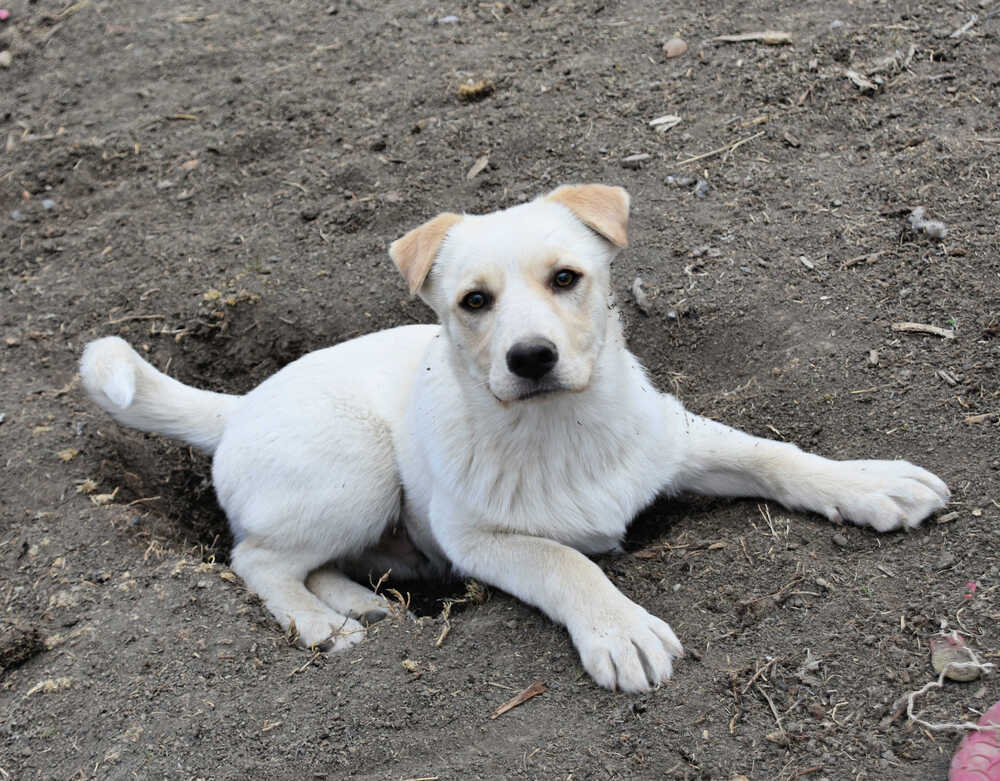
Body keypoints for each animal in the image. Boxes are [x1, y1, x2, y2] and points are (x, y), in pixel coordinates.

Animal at [82, 186, 948, 692]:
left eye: (566, 278)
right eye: (474, 301)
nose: (531, 357)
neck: (561, 431)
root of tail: (239, 404)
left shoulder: (677, 438)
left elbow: (776, 454)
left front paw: (870, 483)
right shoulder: (482, 542)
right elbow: (566, 561)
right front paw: (619, 627)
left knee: (306, 560)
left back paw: (359, 601)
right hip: (356, 469)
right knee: (256, 558)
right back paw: (320, 622)